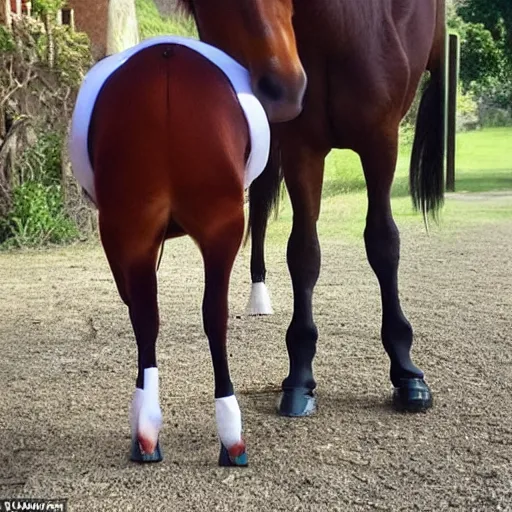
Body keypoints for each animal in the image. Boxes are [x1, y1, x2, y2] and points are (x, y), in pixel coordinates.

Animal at [71, 36, 276, 466]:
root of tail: (166, 59)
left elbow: (138, 308)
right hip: (209, 228)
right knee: (207, 316)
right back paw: (220, 436)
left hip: (139, 229)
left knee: (158, 317)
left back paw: (153, 432)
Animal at [181, 0, 448, 416]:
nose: (282, 89)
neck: (337, 32)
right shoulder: (301, 148)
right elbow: (304, 253)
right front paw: (300, 376)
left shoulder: (381, 142)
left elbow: (384, 243)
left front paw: (406, 372)